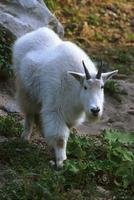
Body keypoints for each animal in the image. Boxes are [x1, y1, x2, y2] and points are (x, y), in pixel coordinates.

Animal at [12, 26, 117, 167]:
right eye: (85, 87)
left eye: (102, 87)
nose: (95, 110)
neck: (75, 90)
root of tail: (30, 35)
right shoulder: (55, 110)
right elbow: (60, 138)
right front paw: (61, 161)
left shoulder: (71, 116)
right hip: (25, 90)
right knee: (29, 113)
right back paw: (25, 138)